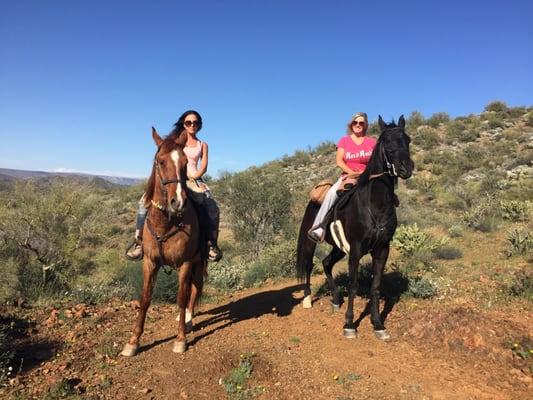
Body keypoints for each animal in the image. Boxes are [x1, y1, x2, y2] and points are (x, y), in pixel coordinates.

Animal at [121, 128, 205, 356]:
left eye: (185, 162)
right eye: (160, 161)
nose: (179, 202)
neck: (165, 223)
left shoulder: (186, 262)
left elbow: (181, 298)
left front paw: (180, 339)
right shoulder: (149, 262)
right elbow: (145, 298)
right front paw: (133, 342)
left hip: (199, 262)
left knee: (194, 289)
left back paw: (188, 321)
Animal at [296, 115, 412, 340]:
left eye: (408, 140)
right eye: (386, 141)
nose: (406, 167)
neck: (375, 205)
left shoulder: (382, 249)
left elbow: (375, 286)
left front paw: (378, 324)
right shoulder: (357, 249)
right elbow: (353, 284)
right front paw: (349, 324)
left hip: (338, 248)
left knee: (326, 263)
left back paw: (335, 299)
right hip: (310, 241)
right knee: (308, 265)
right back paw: (307, 299)